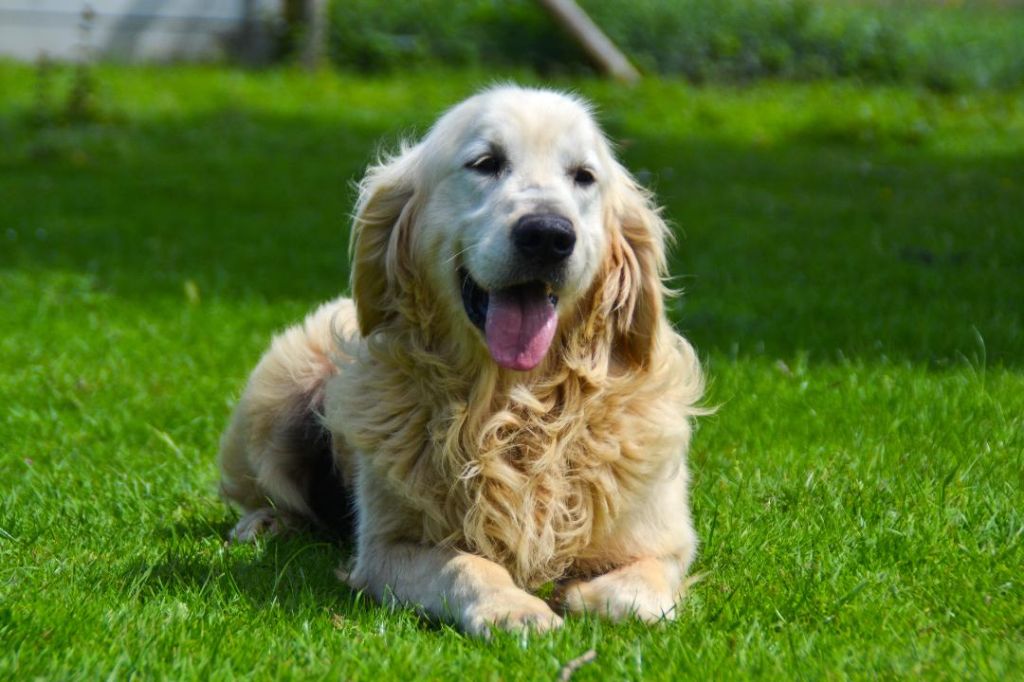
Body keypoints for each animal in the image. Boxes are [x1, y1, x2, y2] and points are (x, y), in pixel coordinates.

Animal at [218, 83, 704, 630]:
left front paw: (588, 595)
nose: (547, 234)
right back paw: (264, 521)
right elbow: (466, 565)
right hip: (272, 399)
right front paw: (515, 608)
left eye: (583, 176)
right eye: (485, 163)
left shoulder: (663, 539)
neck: (516, 406)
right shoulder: (390, 548)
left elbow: (636, 592)